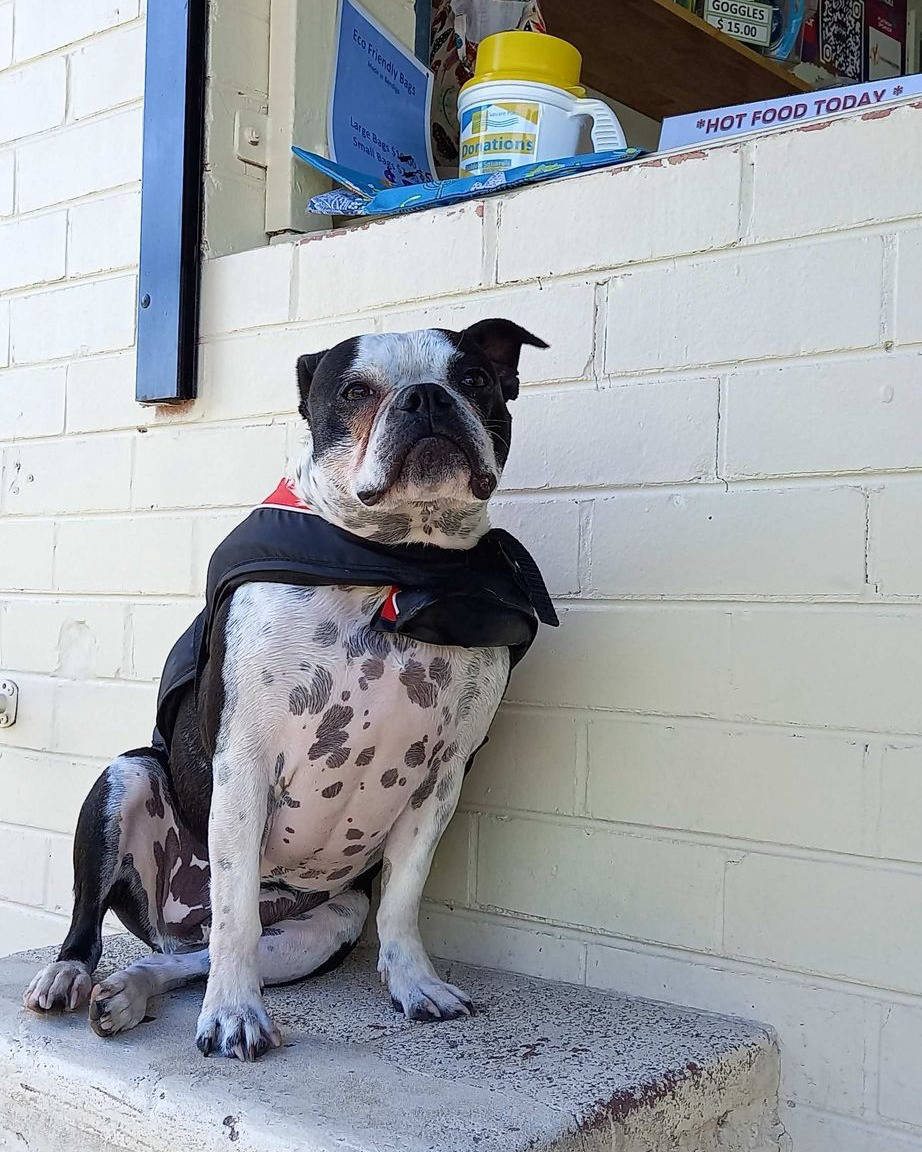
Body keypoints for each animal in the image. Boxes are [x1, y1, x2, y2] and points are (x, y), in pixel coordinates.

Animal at [23, 320, 555, 1055]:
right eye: (354, 391)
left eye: (473, 380)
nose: (426, 397)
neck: (393, 562)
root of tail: (176, 921)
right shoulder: (244, 763)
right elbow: (236, 915)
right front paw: (233, 1014)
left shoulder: (441, 781)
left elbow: (404, 896)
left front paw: (414, 983)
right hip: (124, 779)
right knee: (112, 918)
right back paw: (71, 974)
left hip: (322, 927)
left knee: (188, 959)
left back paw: (131, 993)